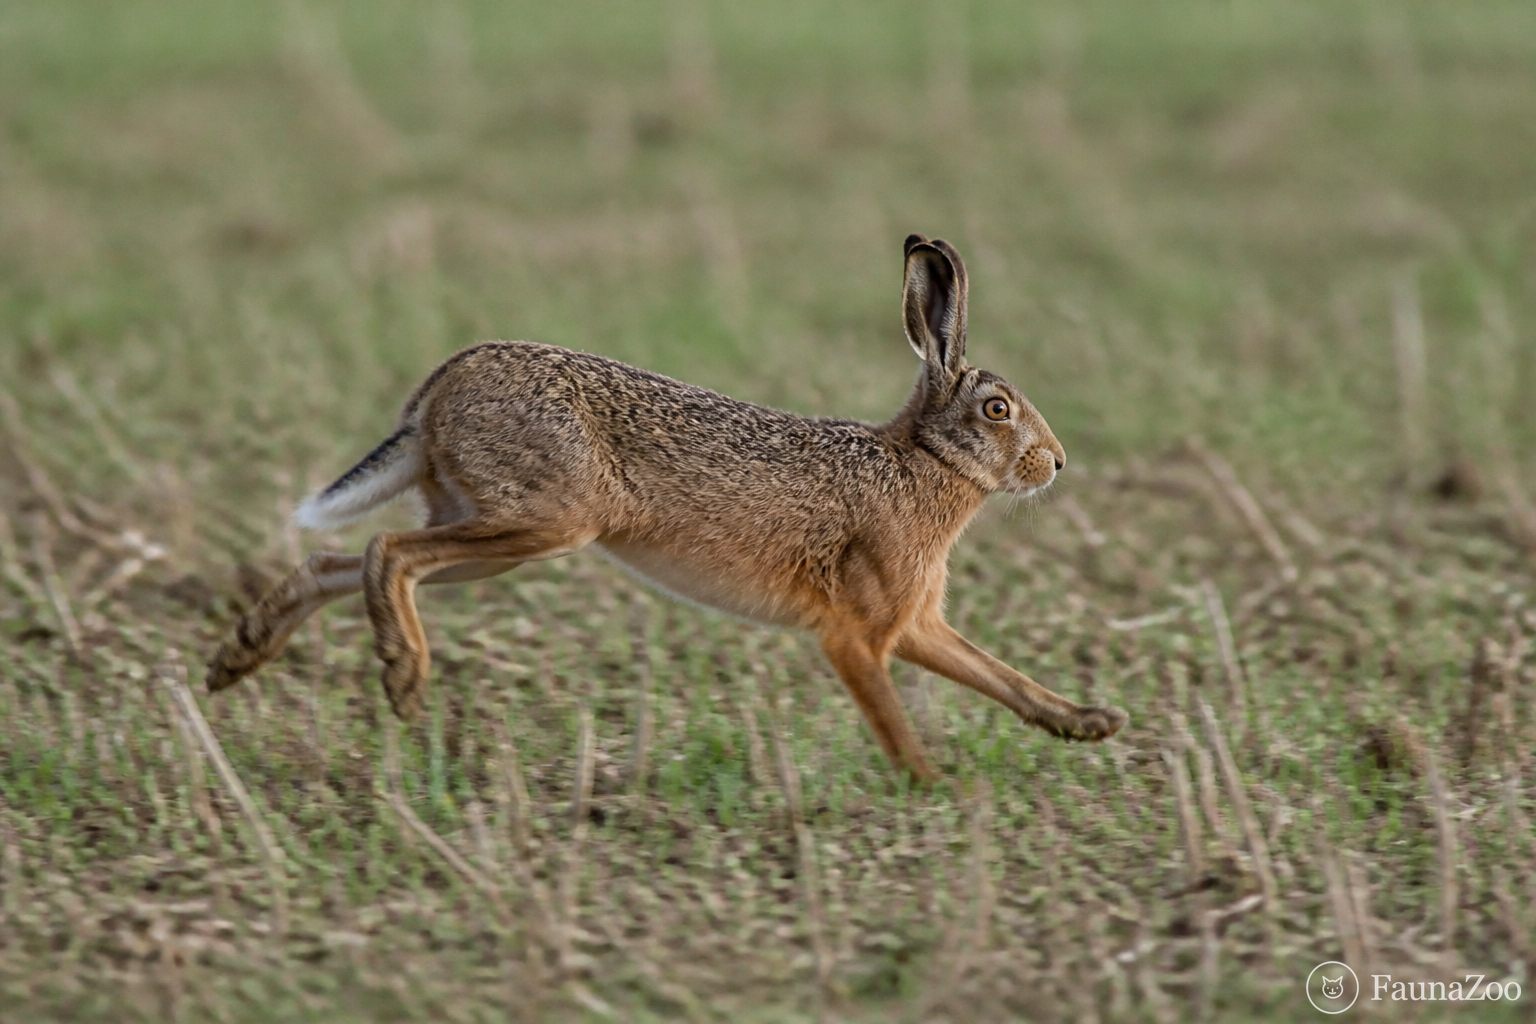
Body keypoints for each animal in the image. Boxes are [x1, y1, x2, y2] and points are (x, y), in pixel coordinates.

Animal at [207, 234, 1128, 780]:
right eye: (998, 409)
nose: (1055, 462)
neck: (922, 461)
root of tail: (438, 391)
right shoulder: (856, 635)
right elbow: (893, 717)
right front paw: (932, 791)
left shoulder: (915, 624)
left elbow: (1000, 676)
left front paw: (1090, 724)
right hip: (545, 518)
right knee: (386, 554)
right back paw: (402, 678)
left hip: (490, 529)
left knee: (338, 559)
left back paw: (238, 658)